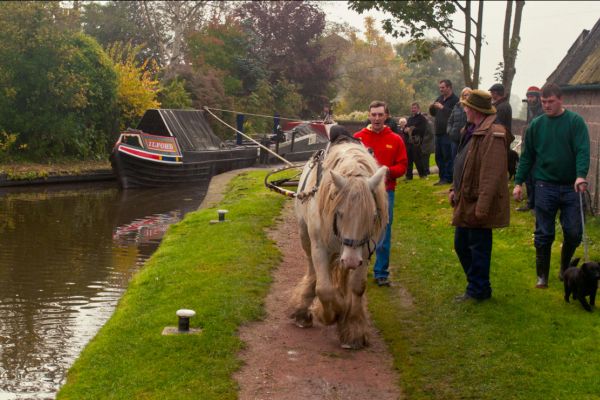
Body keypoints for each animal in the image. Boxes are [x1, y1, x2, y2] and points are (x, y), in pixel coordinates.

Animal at [290, 141, 390, 350]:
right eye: (340, 212)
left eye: (372, 216)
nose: (351, 260)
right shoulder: (320, 247)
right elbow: (324, 289)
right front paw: (330, 313)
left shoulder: (364, 251)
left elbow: (358, 286)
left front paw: (353, 328)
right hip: (305, 237)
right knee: (312, 271)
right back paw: (303, 311)